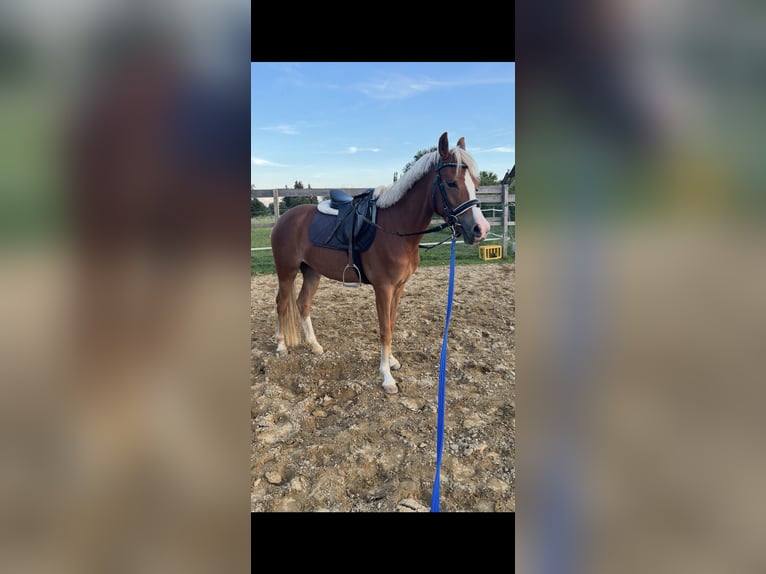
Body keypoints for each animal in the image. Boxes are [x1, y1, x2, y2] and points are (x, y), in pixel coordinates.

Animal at [269, 132, 491, 394]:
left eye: (476, 183)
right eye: (451, 183)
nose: (480, 229)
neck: (396, 228)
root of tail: (285, 218)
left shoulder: (399, 287)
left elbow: (392, 324)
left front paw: (392, 361)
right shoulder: (383, 288)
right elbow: (384, 329)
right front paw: (387, 377)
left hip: (312, 272)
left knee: (303, 304)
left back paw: (315, 346)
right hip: (287, 271)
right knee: (282, 303)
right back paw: (281, 346)